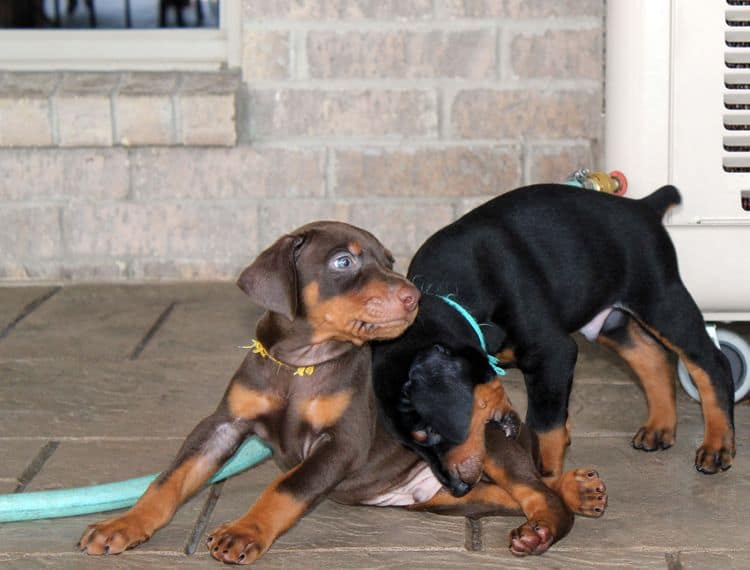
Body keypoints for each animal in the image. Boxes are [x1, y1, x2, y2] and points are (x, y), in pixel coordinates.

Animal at [79, 220, 608, 560]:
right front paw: (123, 525)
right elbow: (170, 478)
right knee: (511, 493)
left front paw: (245, 530)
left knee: (538, 493)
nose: (414, 297)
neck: (301, 366)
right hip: (448, 496)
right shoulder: (224, 424)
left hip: (485, 445)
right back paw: (576, 491)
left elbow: (287, 485)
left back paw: (545, 526)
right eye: (343, 260)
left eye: (390, 261)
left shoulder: (342, 442)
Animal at [374, 183, 736, 496]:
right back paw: (660, 427)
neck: (454, 294)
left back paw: (717, 445)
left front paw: (546, 475)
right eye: (410, 445)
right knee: (652, 356)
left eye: (433, 432)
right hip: (610, 322)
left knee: (710, 361)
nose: (456, 489)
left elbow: (544, 425)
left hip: (661, 299)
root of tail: (643, 206)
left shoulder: (552, 353)